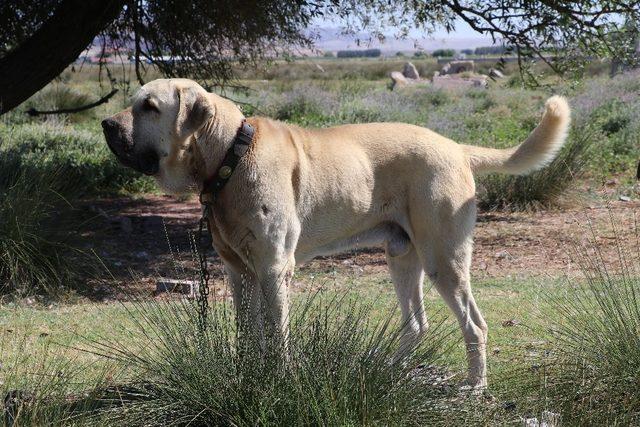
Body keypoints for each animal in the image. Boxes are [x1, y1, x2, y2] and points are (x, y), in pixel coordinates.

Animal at [102, 78, 572, 390]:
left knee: (475, 325)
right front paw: (248, 374)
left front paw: (278, 379)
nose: (106, 123)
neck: (230, 157)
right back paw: (385, 370)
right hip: (402, 258)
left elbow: (275, 334)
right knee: (415, 324)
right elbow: (247, 334)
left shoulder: (274, 269)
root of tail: (456, 147)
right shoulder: (239, 273)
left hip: (443, 259)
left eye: (149, 106)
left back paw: (474, 386)